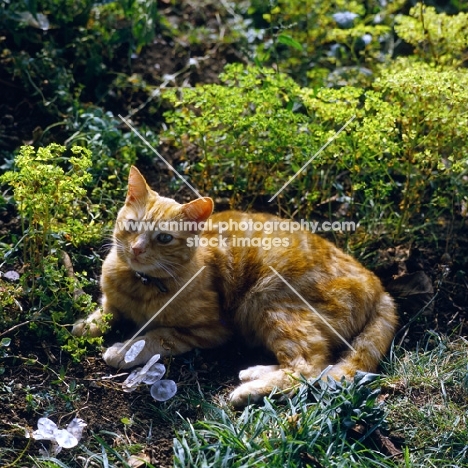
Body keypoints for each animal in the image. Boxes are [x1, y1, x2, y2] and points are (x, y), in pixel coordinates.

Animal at [72, 167, 394, 406]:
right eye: (132, 225)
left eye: (163, 238)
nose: (137, 249)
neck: (140, 285)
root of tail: (379, 285)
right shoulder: (112, 301)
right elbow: (105, 312)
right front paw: (85, 325)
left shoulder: (211, 330)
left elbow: (156, 336)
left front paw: (124, 350)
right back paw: (254, 372)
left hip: (267, 302)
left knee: (308, 367)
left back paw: (248, 391)